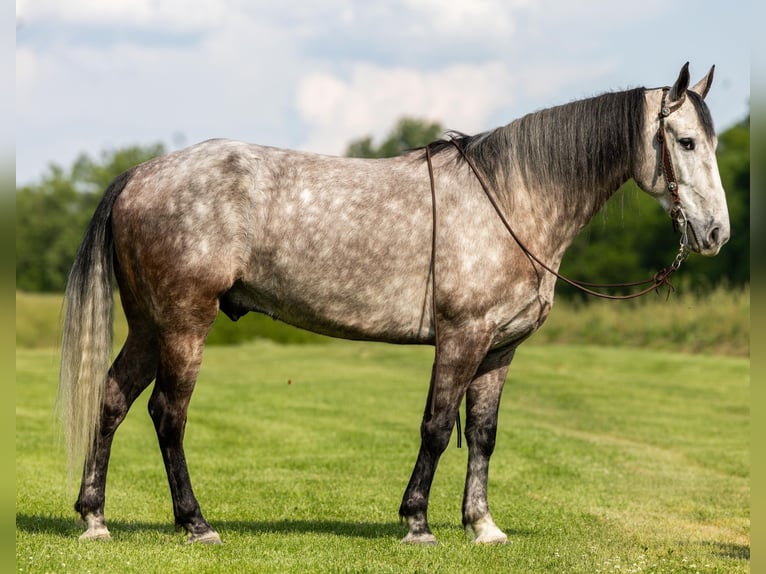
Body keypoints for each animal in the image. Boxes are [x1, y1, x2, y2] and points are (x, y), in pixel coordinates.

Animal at [60, 65, 732, 548]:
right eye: (686, 141)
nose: (715, 233)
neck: (511, 199)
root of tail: (141, 174)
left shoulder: (499, 349)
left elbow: (482, 435)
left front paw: (484, 526)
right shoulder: (462, 338)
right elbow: (436, 427)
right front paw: (417, 524)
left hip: (150, 326)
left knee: (113, 400)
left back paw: (95, 519)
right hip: (183, 325)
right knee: (167, 415)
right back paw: (196, 524)